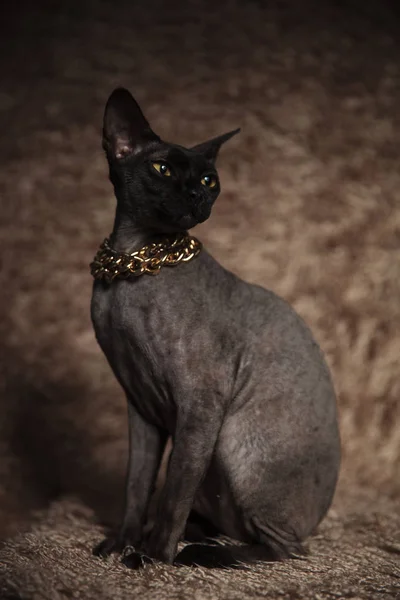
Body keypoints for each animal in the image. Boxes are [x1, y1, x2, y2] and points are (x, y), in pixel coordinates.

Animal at [90, 88, 340, 568]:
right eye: (163, 169)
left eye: (209, 180)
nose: (196, 195)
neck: (131, 265)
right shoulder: (140, 404)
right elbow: (137, 486)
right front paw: (122, 542)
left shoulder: (200, 404)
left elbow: (172, 492)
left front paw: (152, 559)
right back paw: (196, 536)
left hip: (232, 439)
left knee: (284, 550)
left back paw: (199, 553)